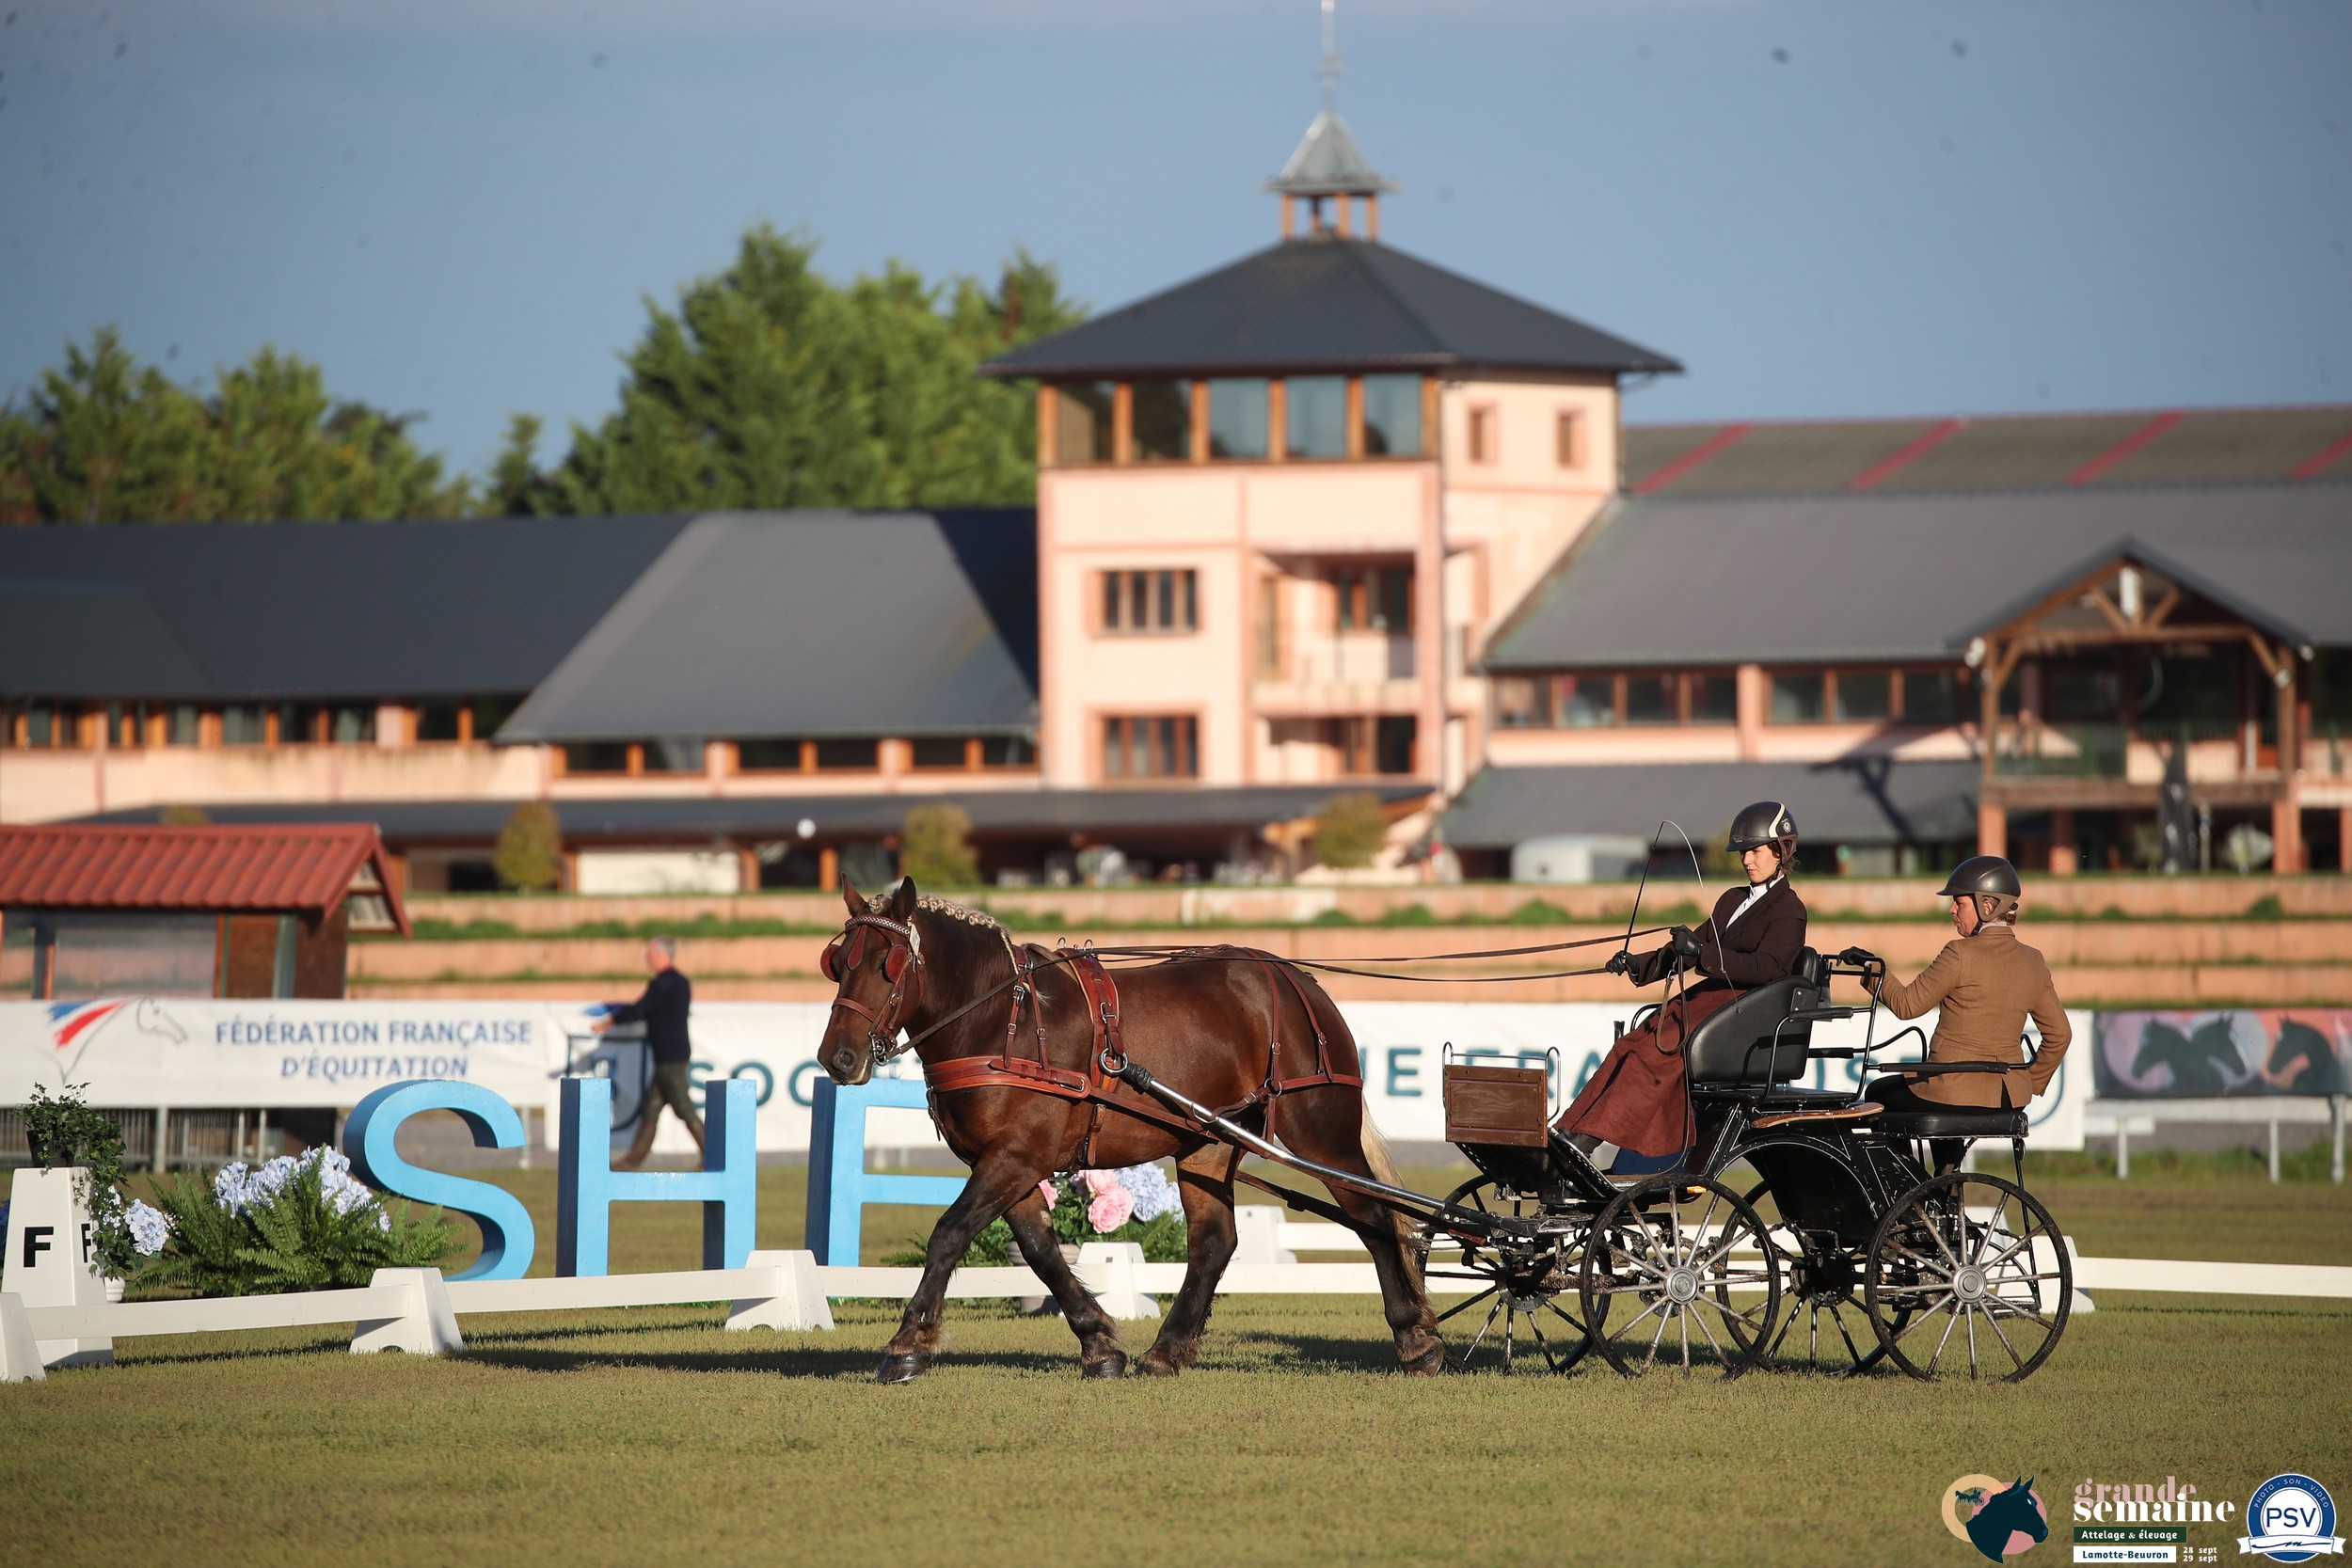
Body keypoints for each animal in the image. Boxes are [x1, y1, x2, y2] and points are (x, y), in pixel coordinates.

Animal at [815, 877, 1446, 1384]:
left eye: (888, 963)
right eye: (838, 961)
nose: (837, 1059)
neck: (1003, 1024)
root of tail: (1297, 980)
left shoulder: (1016, 1156)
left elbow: (949, 1233)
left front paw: (907, 1346)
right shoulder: (1007, 1162)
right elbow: (1039, 1249)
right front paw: (1098, 1341)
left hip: (1319, 1131)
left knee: (1374, 1217)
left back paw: (1415, 1337)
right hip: (1208, 1141)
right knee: (1214, 1241)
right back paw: (1167, 1350)